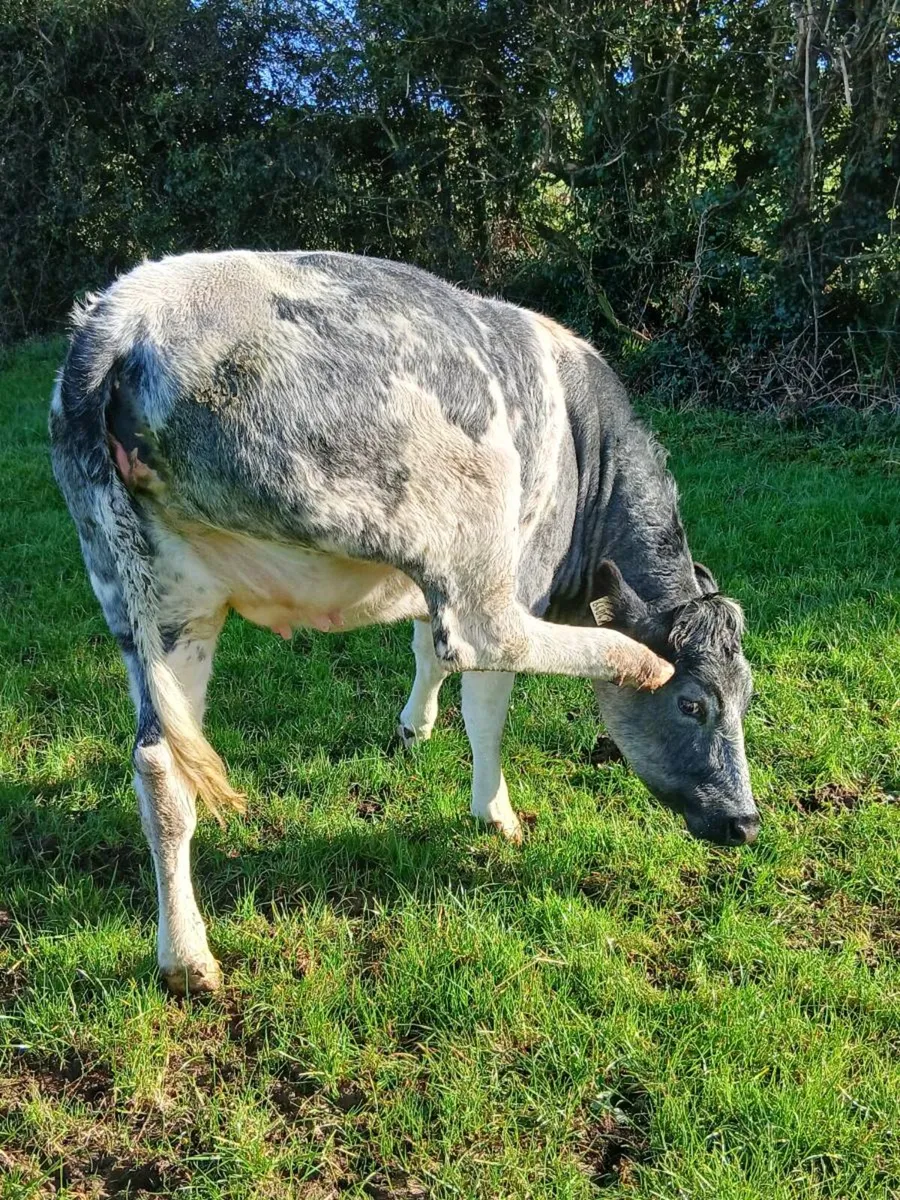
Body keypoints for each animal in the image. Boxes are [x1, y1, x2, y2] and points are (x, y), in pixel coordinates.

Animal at [49, 250, 758, 994]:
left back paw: (186, 959)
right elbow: (482, 703)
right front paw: (495, 812)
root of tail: (123, 317)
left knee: (161, 763)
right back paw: (632, 659)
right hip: (466, 509)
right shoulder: (519, 572)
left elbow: (426, 650)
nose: (745, 822)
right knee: (487, 634)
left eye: (748, 698)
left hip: (159, 598)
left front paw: (413, 725)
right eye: (693, 703)